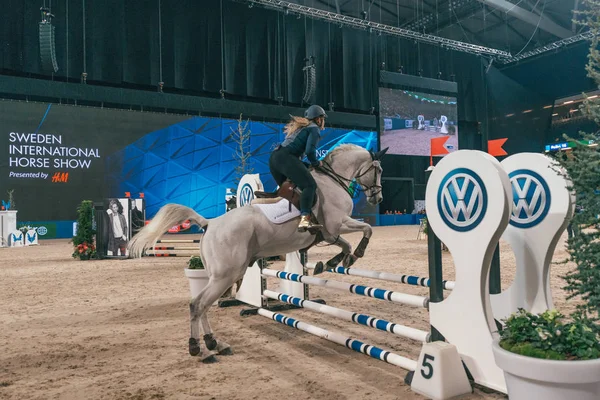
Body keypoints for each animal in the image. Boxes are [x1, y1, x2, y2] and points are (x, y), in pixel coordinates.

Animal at [128, 145, 386, 362]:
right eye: (379, 170)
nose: (378, 198)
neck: (333, 181)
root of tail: (209, 223)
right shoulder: (336, 225)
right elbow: (365, 230)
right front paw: (352, 255)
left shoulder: (329, 233)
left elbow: (346, 243)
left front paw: (331, 262)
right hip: (227, 275)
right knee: (198, 304)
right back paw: (201, 347)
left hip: (219, 275)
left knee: (202, 306)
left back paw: (213, 344)